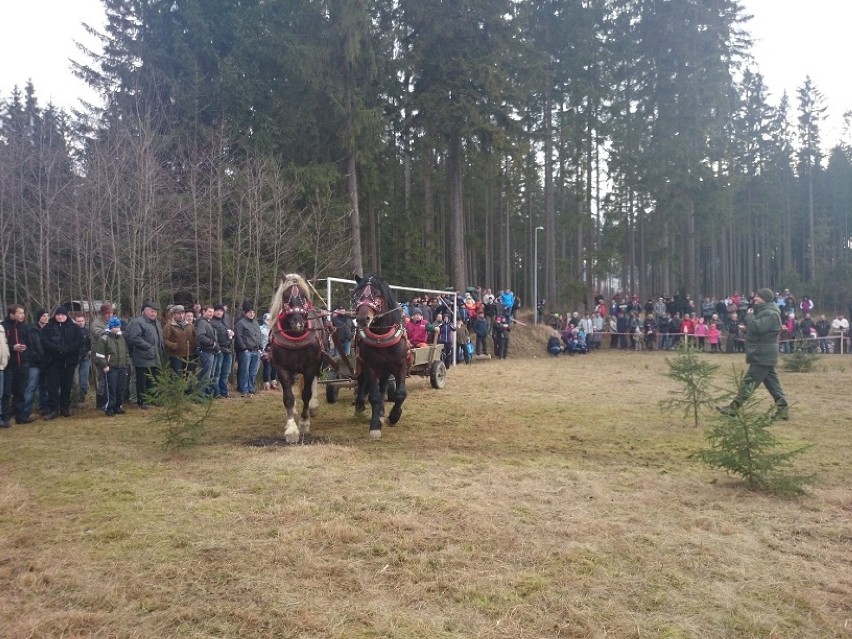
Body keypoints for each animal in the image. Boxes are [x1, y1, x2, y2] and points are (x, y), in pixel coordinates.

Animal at [268, 272, 328, 442]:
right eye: (285, 296)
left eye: (303, 296)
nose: (297, 323)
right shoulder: (281, 368)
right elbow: (288, 397)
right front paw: (291, 429)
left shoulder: (310, 367)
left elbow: (306, 394)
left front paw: (304, 423)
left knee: (313, 385)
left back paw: (313, 406)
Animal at [350, 276, 410, 440]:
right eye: (357, 295)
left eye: (377, 295)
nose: (362, 319)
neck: (381, 334)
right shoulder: (370, 366)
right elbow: (374, 397)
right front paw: (375, 426)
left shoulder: (400, 365)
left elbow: (400, 393)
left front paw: (393, 417)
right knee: (363, 383)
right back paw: (361, 405)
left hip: (386, 369)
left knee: (383, 387)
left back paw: (382, 413)